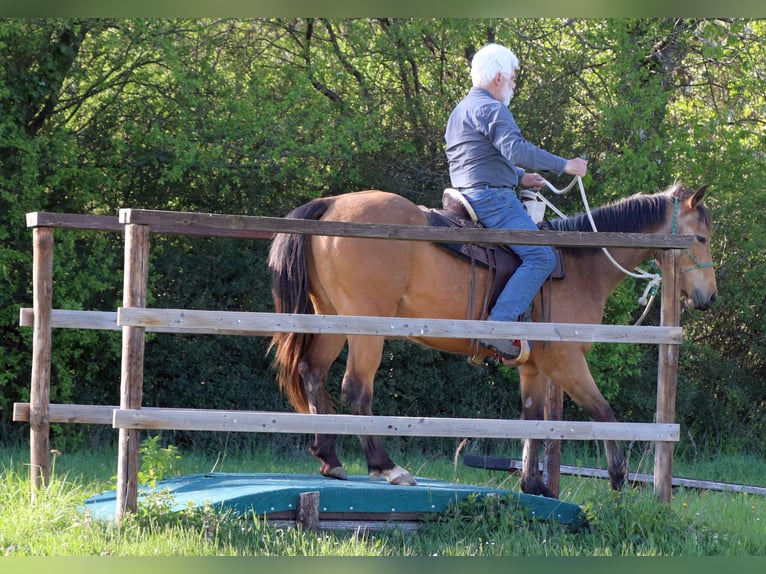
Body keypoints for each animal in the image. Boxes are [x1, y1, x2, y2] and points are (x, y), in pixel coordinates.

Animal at [267, 182, 717, 497]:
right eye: (701, 238)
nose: (709, 298)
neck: (580, 262)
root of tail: (330, 206)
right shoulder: (566, 360)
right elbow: (603, 413)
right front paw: (617, 476)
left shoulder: (535, 367)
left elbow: (533, 419)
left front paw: (533, 485)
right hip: (367, 325)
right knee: (356, 389)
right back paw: (387, 467)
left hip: (331, 316)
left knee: (313, 373)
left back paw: (330, 458)